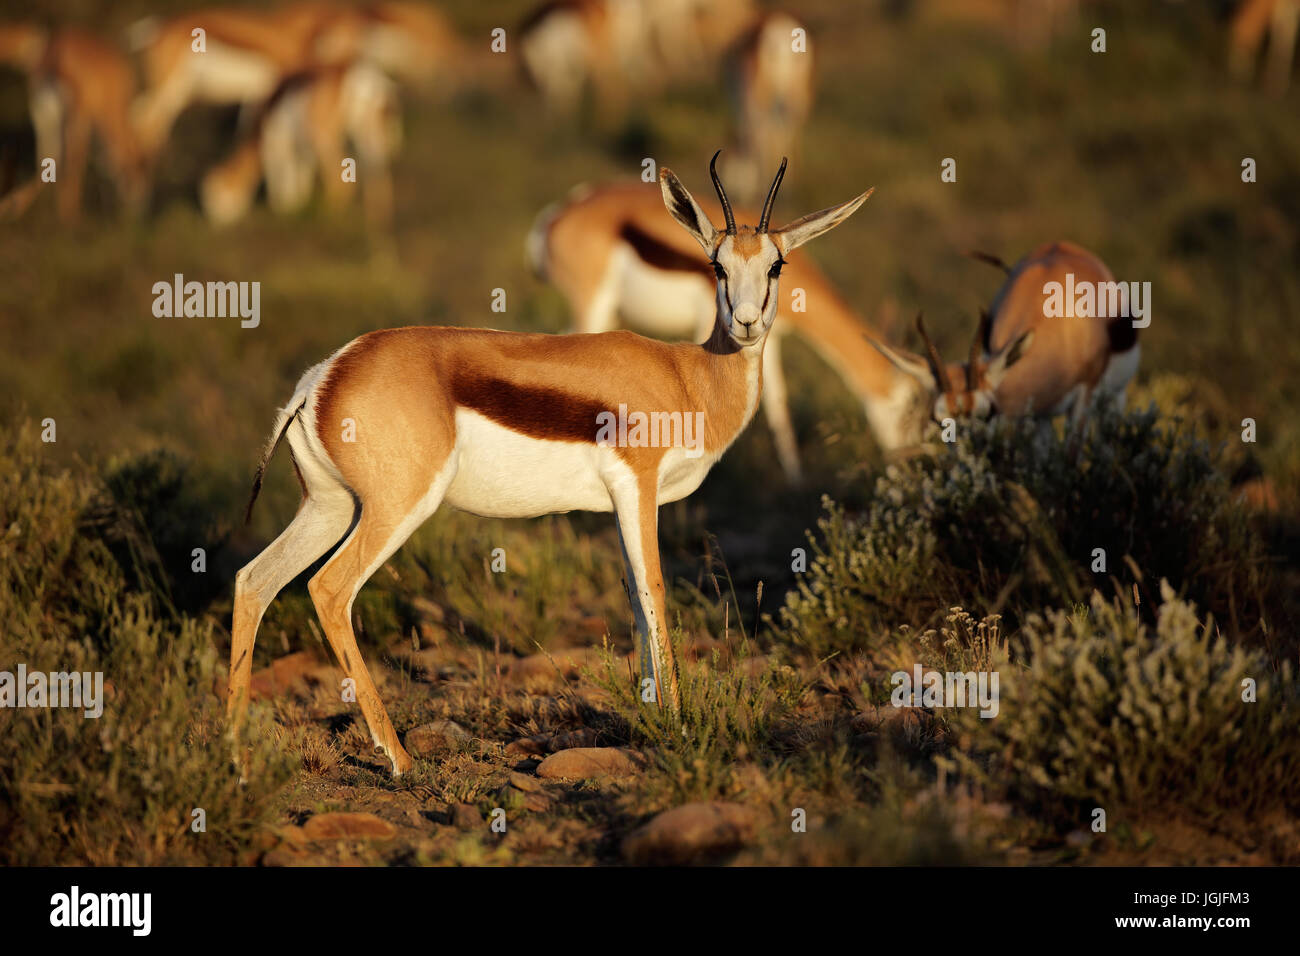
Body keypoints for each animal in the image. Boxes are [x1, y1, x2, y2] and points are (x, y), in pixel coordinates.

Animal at [0, 22, 147, 221]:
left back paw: (16, 206)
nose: (139, 205)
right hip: (74, 111)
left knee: (48, 152)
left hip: (43, 109)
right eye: (139, 169)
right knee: (71, 155)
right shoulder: (88, 115)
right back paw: (69, 216)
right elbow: (82, 157)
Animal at [231, 153, 873, 775]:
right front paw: (679, 724)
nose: (745, 323)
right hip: (396, 507)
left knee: (253, 581)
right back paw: (399, 759)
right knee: (328, 589)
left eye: (776, 266)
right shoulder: (638, 486)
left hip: (331, 508)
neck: (687, 378)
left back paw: (233, 753)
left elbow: (636, 601)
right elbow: (657, 591)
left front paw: (651, 715)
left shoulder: (619, 503)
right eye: (716, 266)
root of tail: (323, 377)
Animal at [530, 175, 915, 481]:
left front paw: (795, 479)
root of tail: (558, 214)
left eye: (776, 265)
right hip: (593, 307)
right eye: (906, 404)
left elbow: (778, 403)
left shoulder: (770, 340)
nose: (907, 464)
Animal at [873, 240, 1138, 434]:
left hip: (1115, 397)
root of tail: (1062, 244)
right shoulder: (1033, 414)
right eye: (939, 420)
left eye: (987, 413)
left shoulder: (1083, 400)